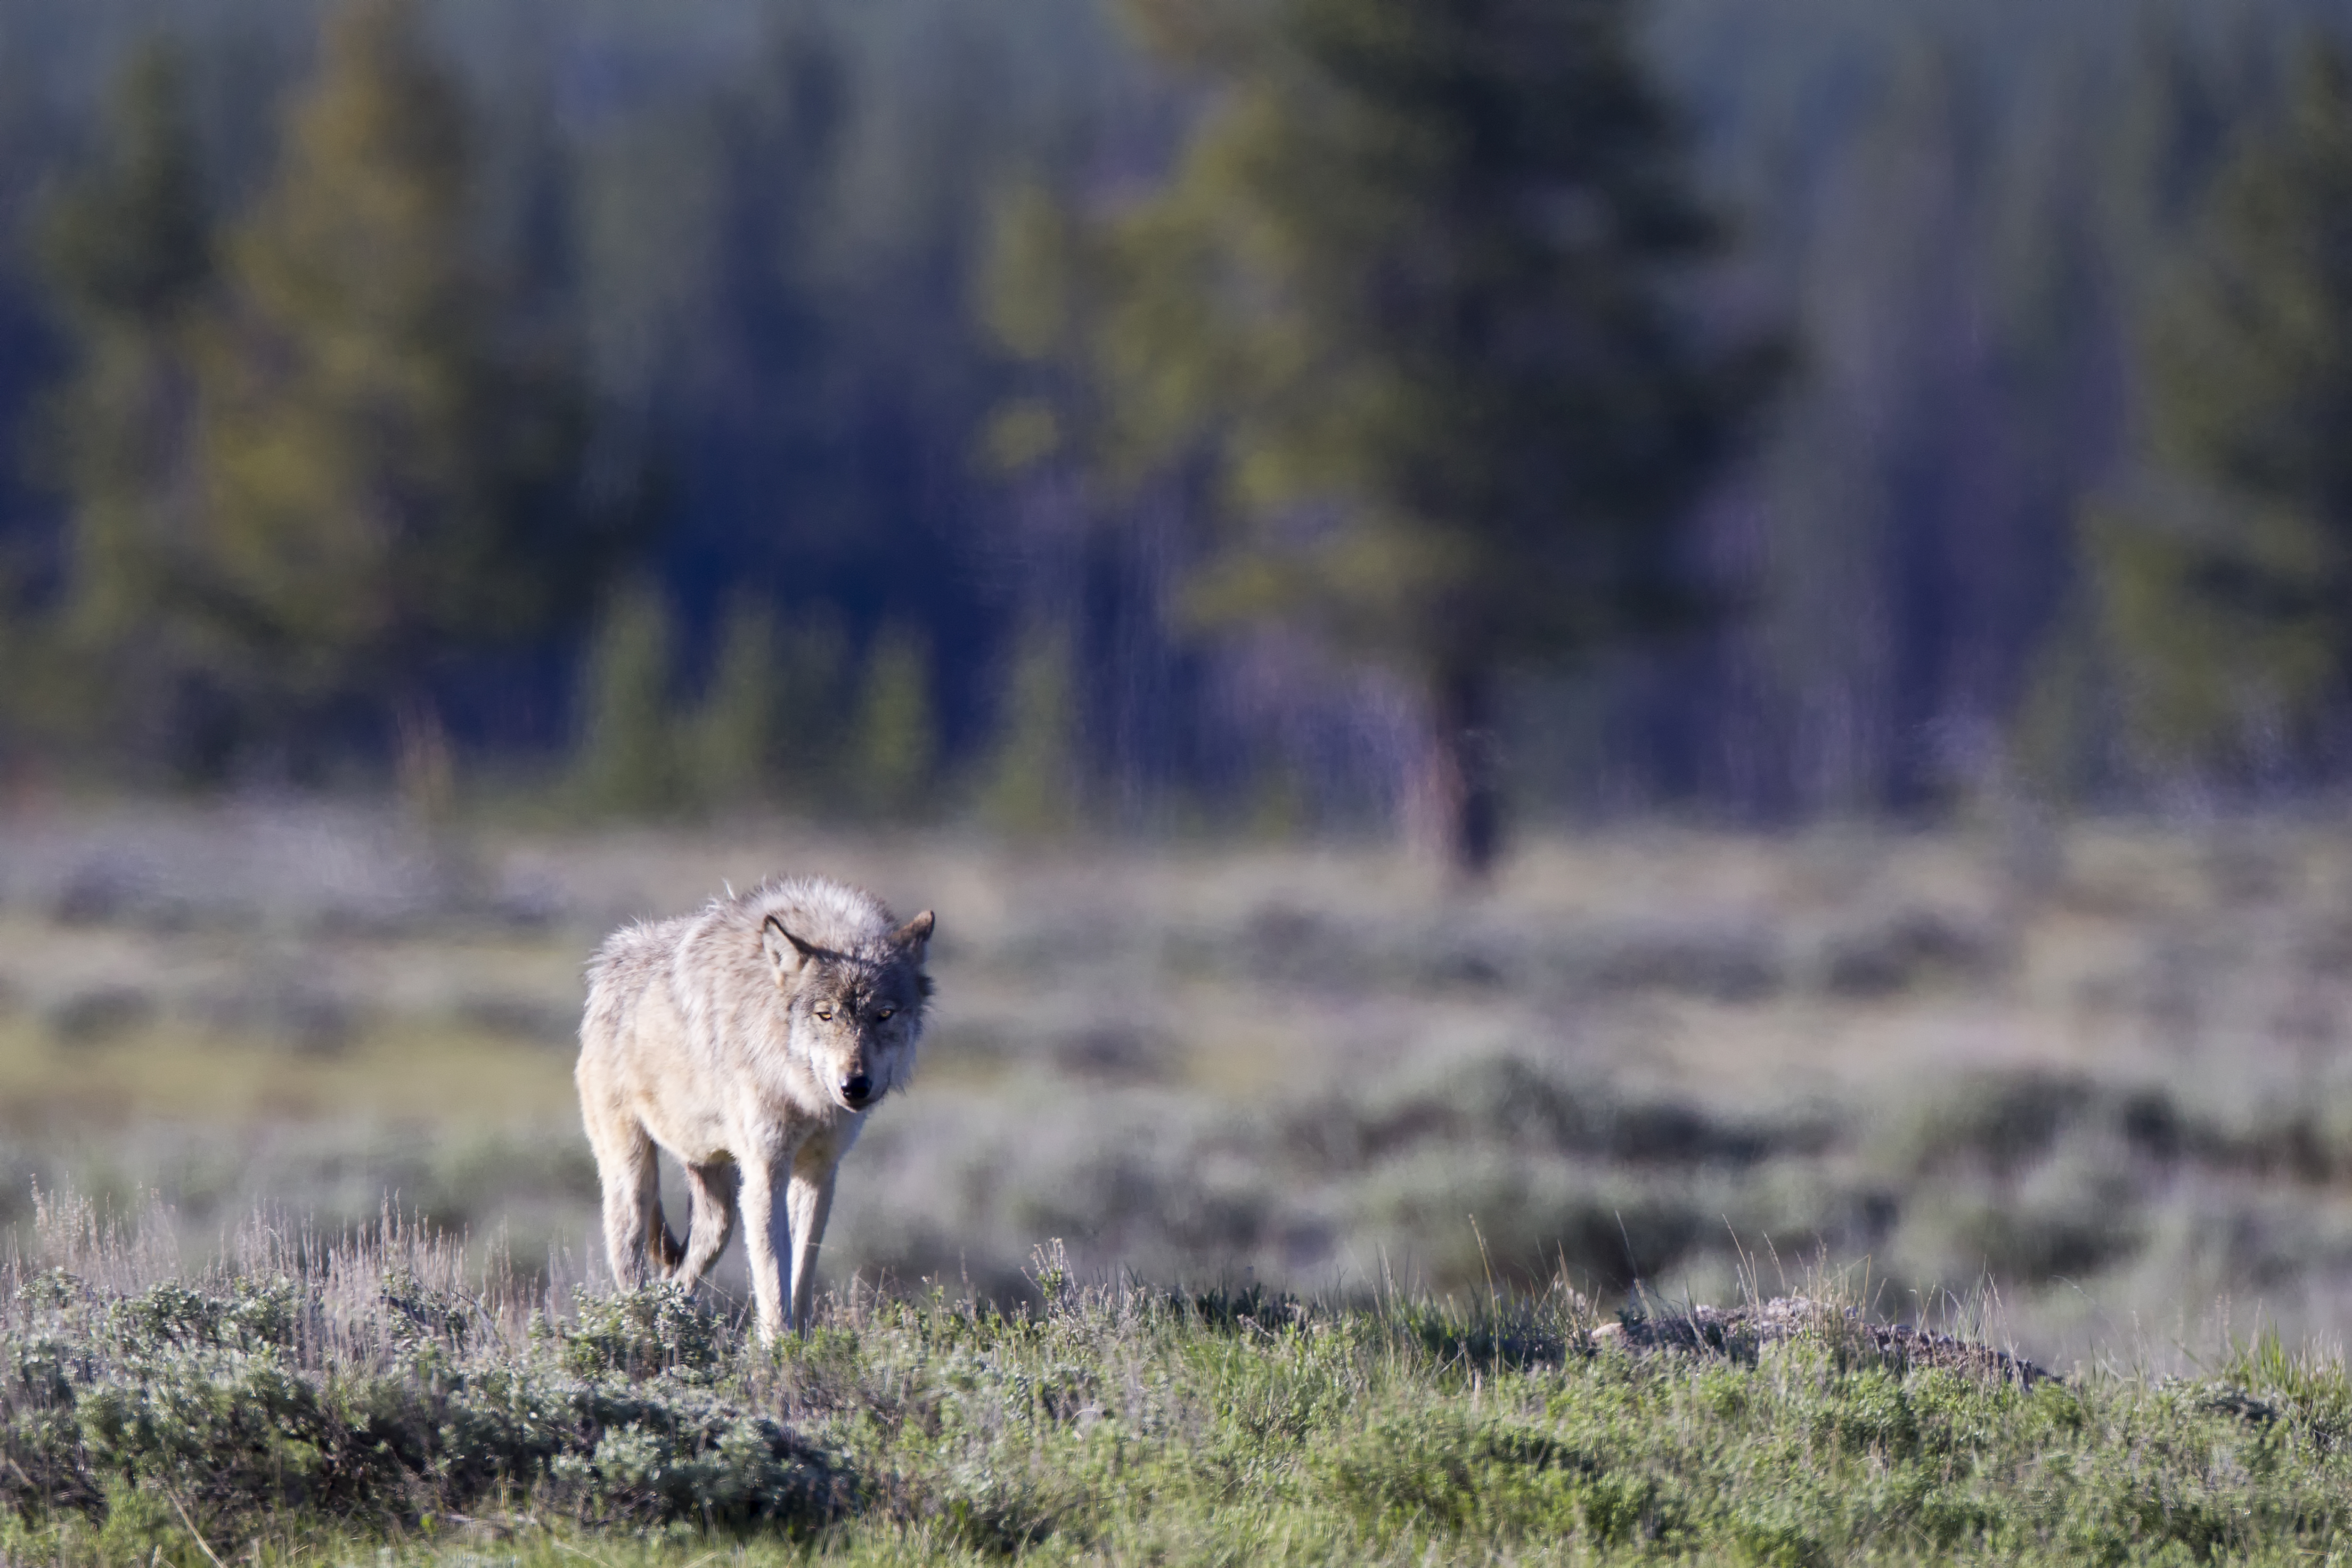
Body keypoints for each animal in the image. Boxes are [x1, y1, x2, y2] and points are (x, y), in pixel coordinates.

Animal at [575, 876, 934, 1339]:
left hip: (718, 1205)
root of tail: (609, 965)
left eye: (884, 1014)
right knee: (632, 1276)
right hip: (635, 1183)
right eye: (825, 1015)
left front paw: (802, 1341)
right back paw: (642, 1333)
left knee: (680, 1272)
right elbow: (773, 1279)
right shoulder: (766, 1173)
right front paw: (779, 1346)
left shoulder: (819, 1173)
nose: (854, 1086)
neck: (800, 1090)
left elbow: (801, 1272)